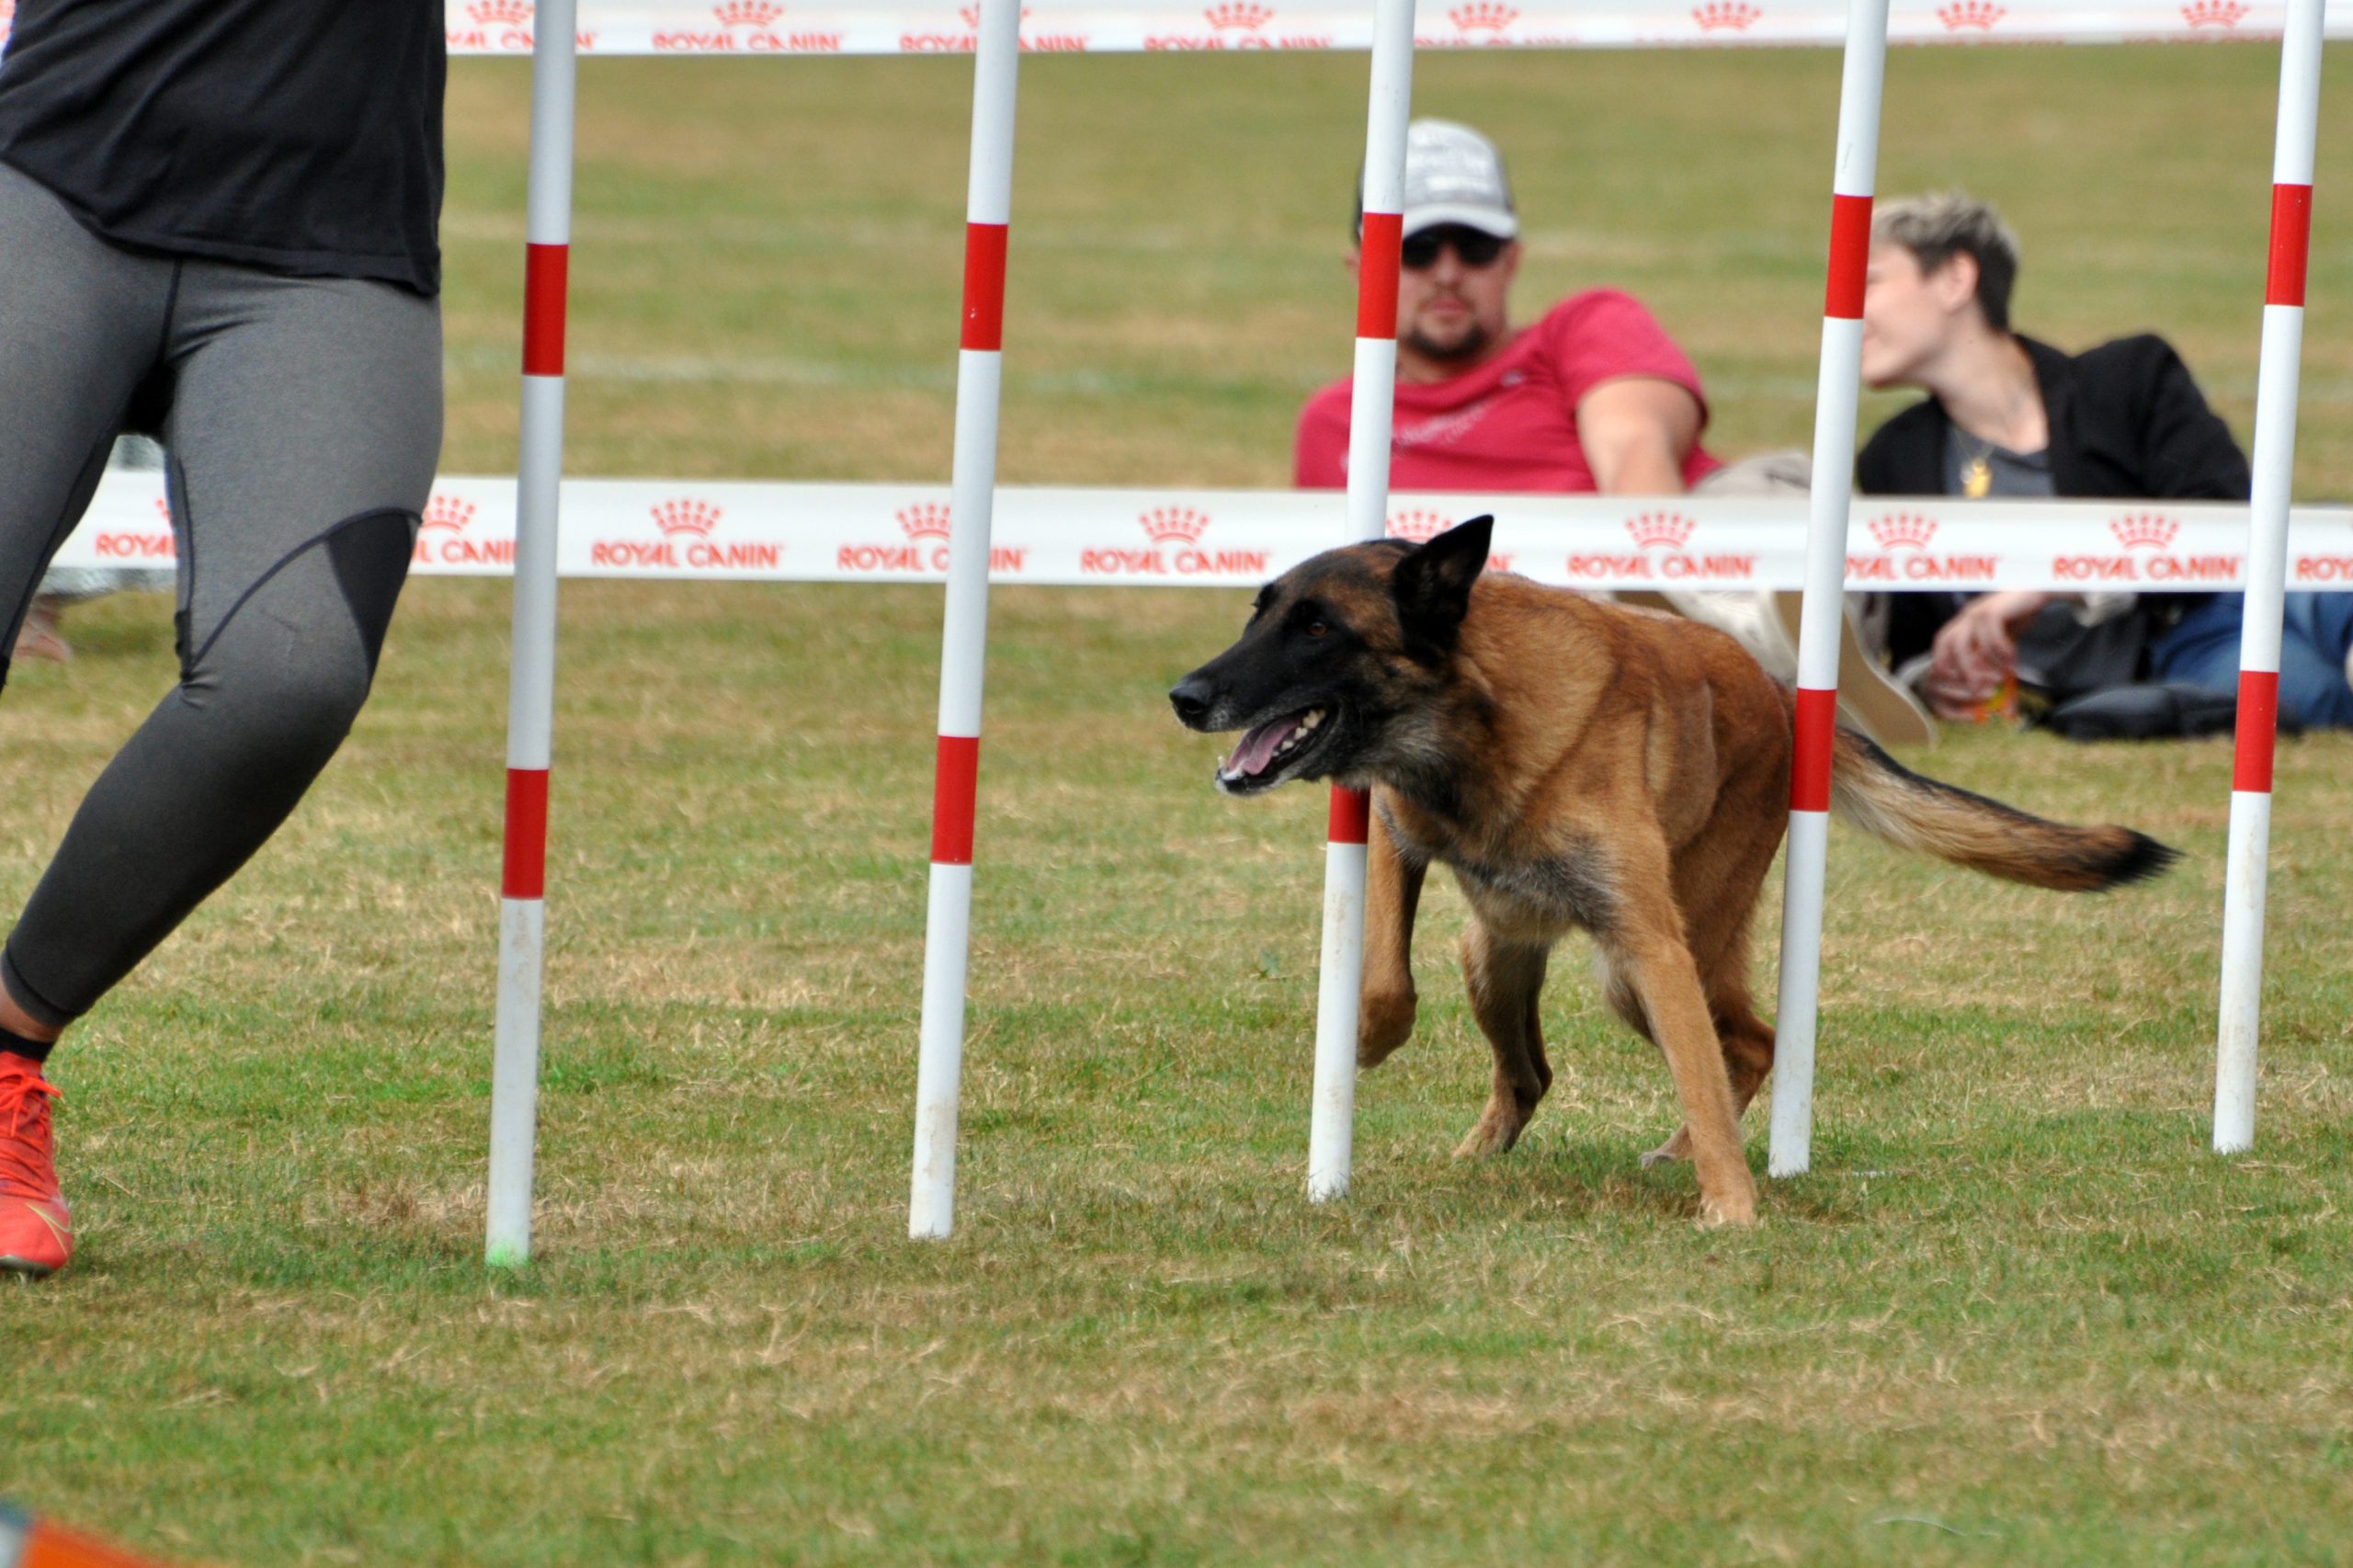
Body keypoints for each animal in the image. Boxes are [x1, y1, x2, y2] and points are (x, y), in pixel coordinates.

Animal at [1167, 516, 2175, 1226]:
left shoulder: (1651, 942)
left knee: (1748, 1045)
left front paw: (1730, 1206)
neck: (1473, 721)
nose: (1184, 695)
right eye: (1259, 612)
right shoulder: (1390, 834)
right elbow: (1383, 977)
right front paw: (1361, 1044)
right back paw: (1479, 1151)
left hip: (1639, 967)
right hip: (1493, 953)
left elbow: (1700, 1071)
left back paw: (1689, 1150)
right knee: (1530, 1072)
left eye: (1316, 627)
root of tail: (1784, 695)